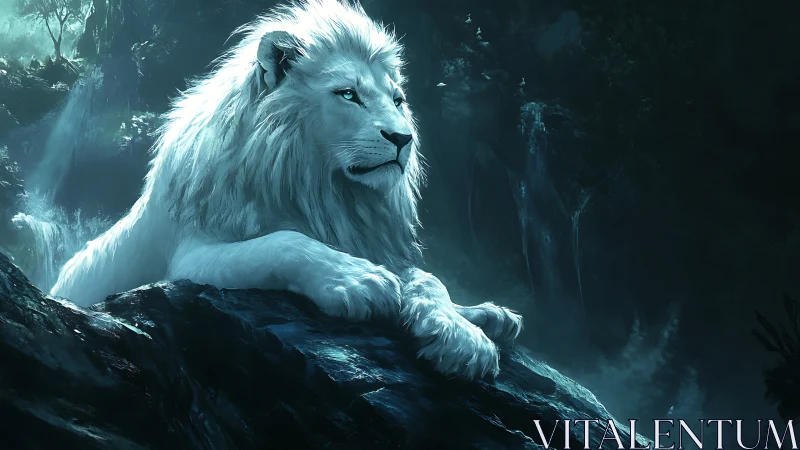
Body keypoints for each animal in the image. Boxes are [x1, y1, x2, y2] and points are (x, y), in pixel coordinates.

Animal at [50, 0, 523, 380]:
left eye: (398, 100)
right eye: (348, 95)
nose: (403, 138)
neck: (321, 187)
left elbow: (428, 279)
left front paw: (464, 339)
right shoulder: (188, 257)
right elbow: (283, 243)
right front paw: (360, 282)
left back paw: (495, 316)